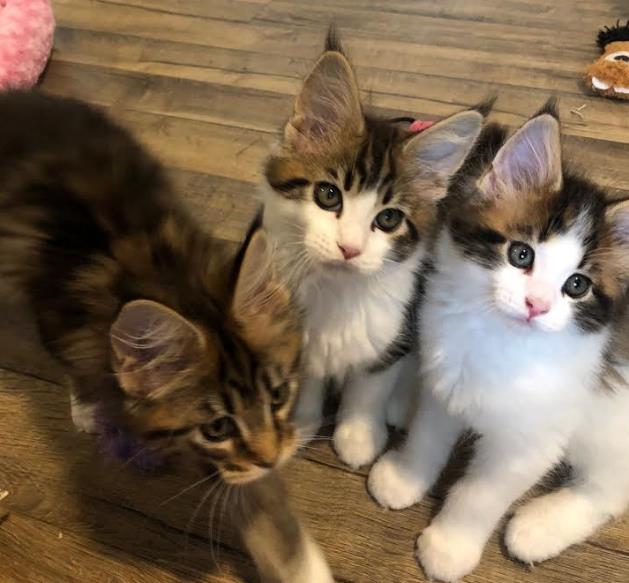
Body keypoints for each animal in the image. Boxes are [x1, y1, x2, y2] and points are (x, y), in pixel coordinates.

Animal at [0, 91, 334, 583]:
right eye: (217, 427)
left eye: (278, 396)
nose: (274, 457)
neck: (160, 273)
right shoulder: (56, 318)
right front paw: (87, 406)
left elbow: (261, 496)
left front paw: (301, 564)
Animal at [262, 29, 484, 470]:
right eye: (328, 195)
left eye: (388, 219)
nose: (349, 248)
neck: (337, 294)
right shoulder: (299, 339)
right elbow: (309, 381)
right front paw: (304, 421)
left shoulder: (390, 337)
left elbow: (367, 391)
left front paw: (357, 436)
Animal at [368, 104, 628, 583]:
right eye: (521, 254)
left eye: (577, 285)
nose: (536, 305)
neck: (495, 336)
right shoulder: (447, 384)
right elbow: (427, 437)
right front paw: (404, 478)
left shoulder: (530, 442)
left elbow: (479, 494)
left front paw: (450, 547)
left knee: (612, 487)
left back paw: (539, 527)